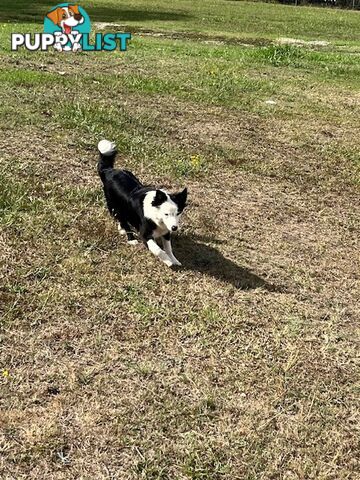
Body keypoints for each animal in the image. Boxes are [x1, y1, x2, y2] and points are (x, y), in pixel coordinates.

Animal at [98, 139, 188, 268]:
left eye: (178, 213)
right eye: (166, 214)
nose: (174, 228)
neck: (156, 216)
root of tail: (108, 171)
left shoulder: (166, 232)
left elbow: (168, 248)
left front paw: (174, 260)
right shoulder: (145, 234)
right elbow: (158, 250)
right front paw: (167, 261)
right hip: (116, 206)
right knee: (121, 219)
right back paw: (130, 238)